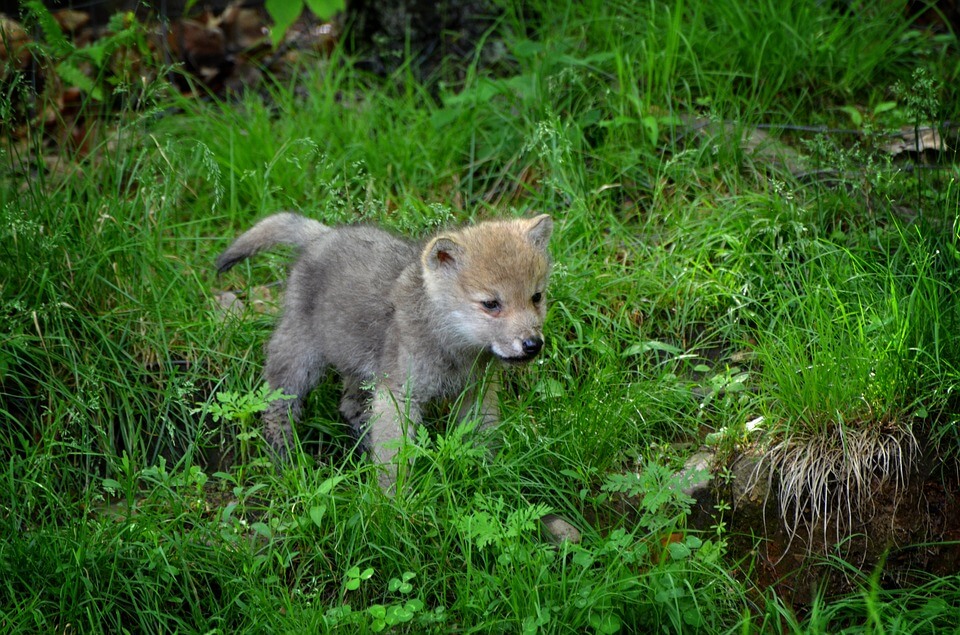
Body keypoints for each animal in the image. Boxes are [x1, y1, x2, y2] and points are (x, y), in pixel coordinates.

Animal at [216, 212, 553, 491]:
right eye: (491, 304)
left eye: (536, 297)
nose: (532, 345)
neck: (451, 345)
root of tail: (322, 236)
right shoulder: (399, 395)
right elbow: (395, 458)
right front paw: (392, 502)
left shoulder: (476, 391)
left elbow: (482, 437)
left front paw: (487, 474)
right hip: (300, 356)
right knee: (276, 406)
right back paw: (286, 460)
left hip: (358, 364)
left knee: (349, 406)